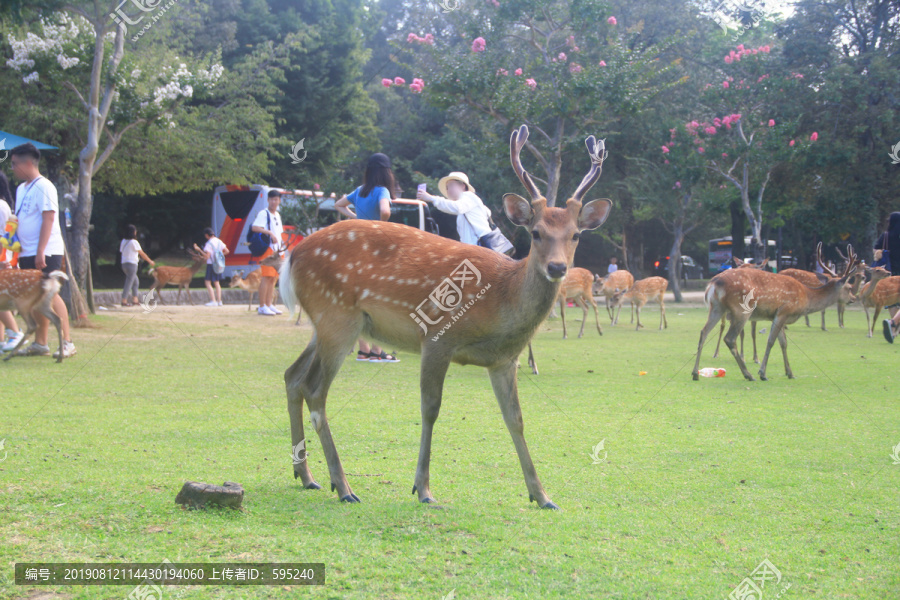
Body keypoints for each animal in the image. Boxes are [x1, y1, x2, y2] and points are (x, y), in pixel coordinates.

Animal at [274, 124, 612, 508]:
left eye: (576, 235)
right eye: (536, 232)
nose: (557, 267)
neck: (501, 301)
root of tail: (292, 255)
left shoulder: (503, 360)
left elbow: (515, 418)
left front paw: (542, 495)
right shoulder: (437, 337)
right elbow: (431, 409)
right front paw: (422, 488)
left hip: (324, 324)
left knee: (292, 376)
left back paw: (306, 476)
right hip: (337, 317)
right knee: (315, 390)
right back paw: (343, 486)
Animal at [692, 243, 860, 380]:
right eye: (848, 287)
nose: (854, 298)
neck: (805, 298)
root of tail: (713, 284)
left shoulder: (777, 316)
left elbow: (783, 343)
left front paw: (789, 373)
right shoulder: (784, 311)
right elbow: (771, 341)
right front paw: (763, 373)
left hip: (716, 308)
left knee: (703, 332)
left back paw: (695, 373)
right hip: (741, 310)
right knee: (729, 338)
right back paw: (748, 375)